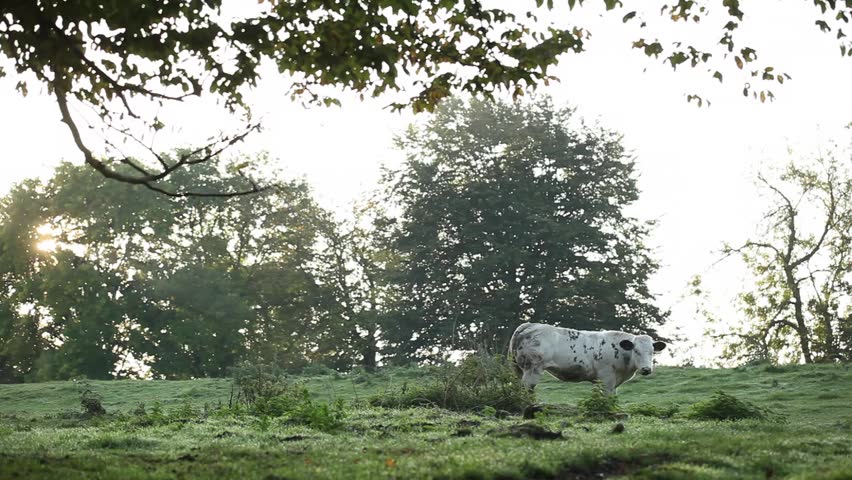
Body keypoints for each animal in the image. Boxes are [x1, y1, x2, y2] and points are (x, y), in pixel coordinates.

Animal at [509, 322, 666, 394]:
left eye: (652, 352)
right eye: (636, 351)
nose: (646, 369)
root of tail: (529, 325)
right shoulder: (606, 378)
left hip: (518, 369)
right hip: (532, 369)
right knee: (526, 388)